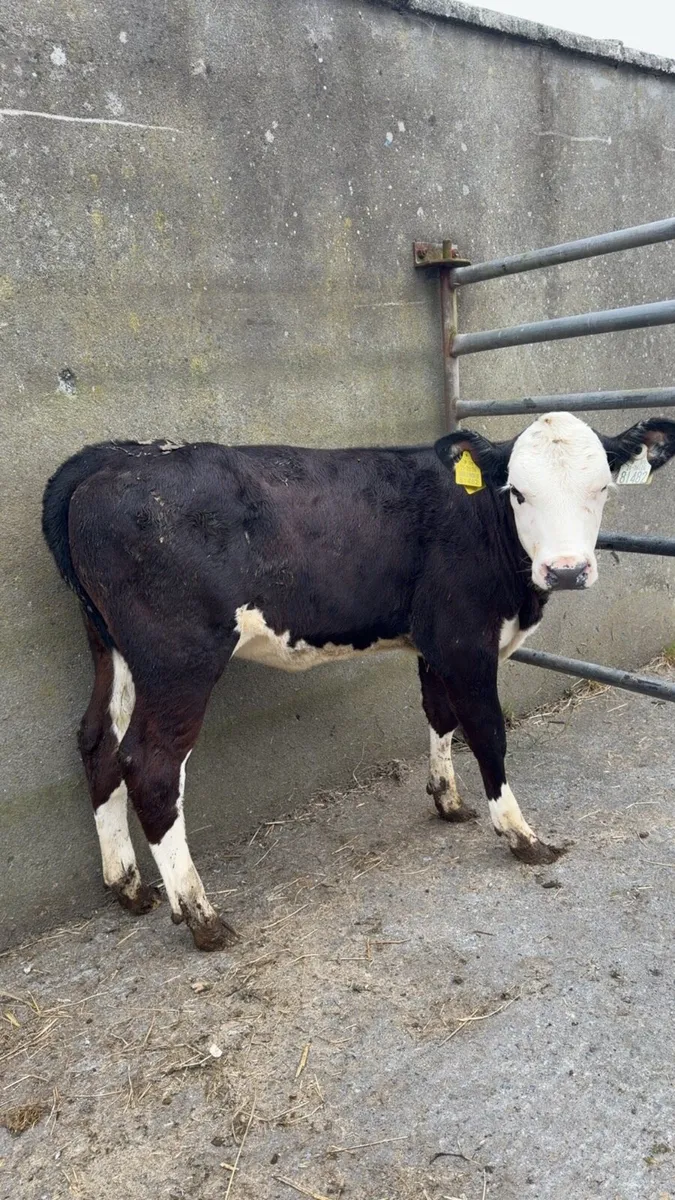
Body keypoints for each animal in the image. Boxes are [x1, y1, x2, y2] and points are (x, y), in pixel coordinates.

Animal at [42, 412, 675, 950]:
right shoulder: (465, 643)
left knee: (98, 741)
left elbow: (438, 715)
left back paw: (126, 885)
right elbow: (487, 732)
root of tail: (116, 455)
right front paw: (522, 835)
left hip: (113, 648)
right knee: (150, 765)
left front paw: (448, 800)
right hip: (179, 658)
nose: (566, 570)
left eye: (602, 489)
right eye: (518, 492)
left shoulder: (434, 642)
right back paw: (202, 916)